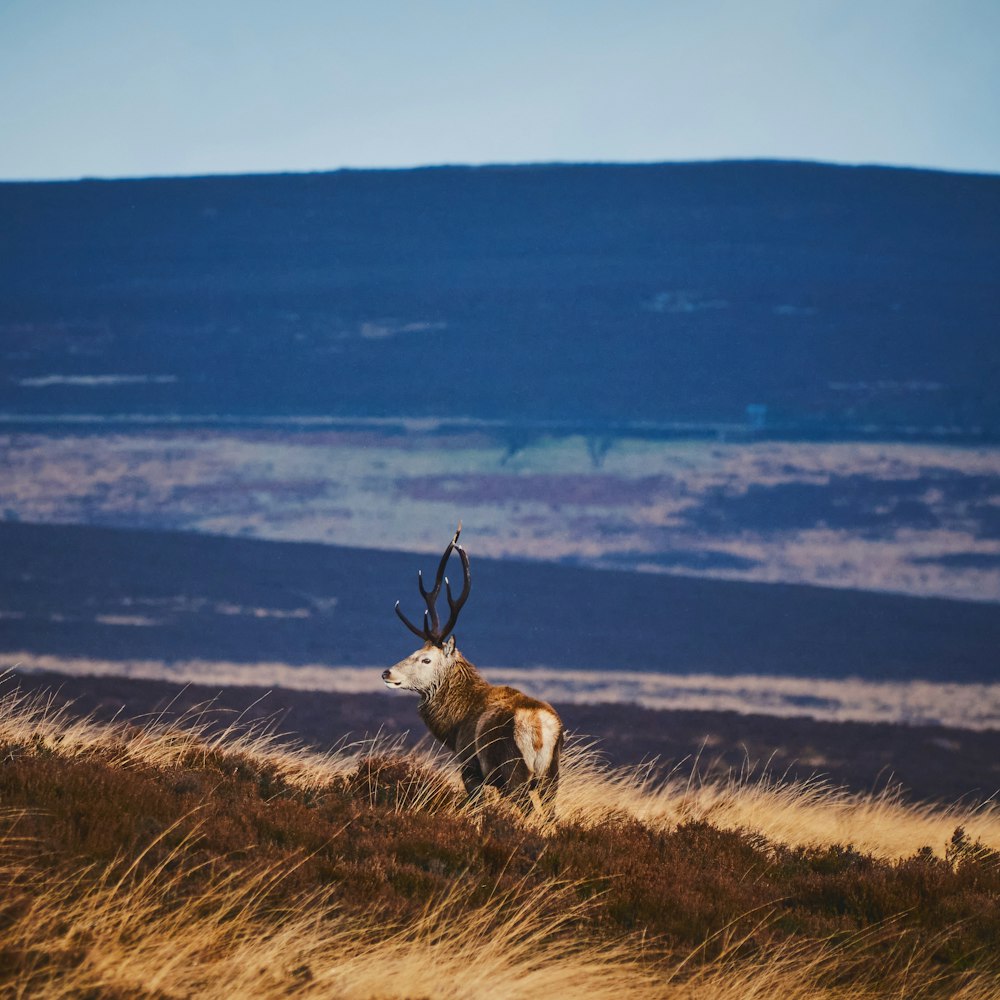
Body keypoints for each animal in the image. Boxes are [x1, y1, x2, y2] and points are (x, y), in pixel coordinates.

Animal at [378, 528, 564, 816]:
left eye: (426, 659)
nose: (387, 673)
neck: (454, 726)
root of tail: (540, 729)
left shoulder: (470, 768)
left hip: (515, 772)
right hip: (552, 775)